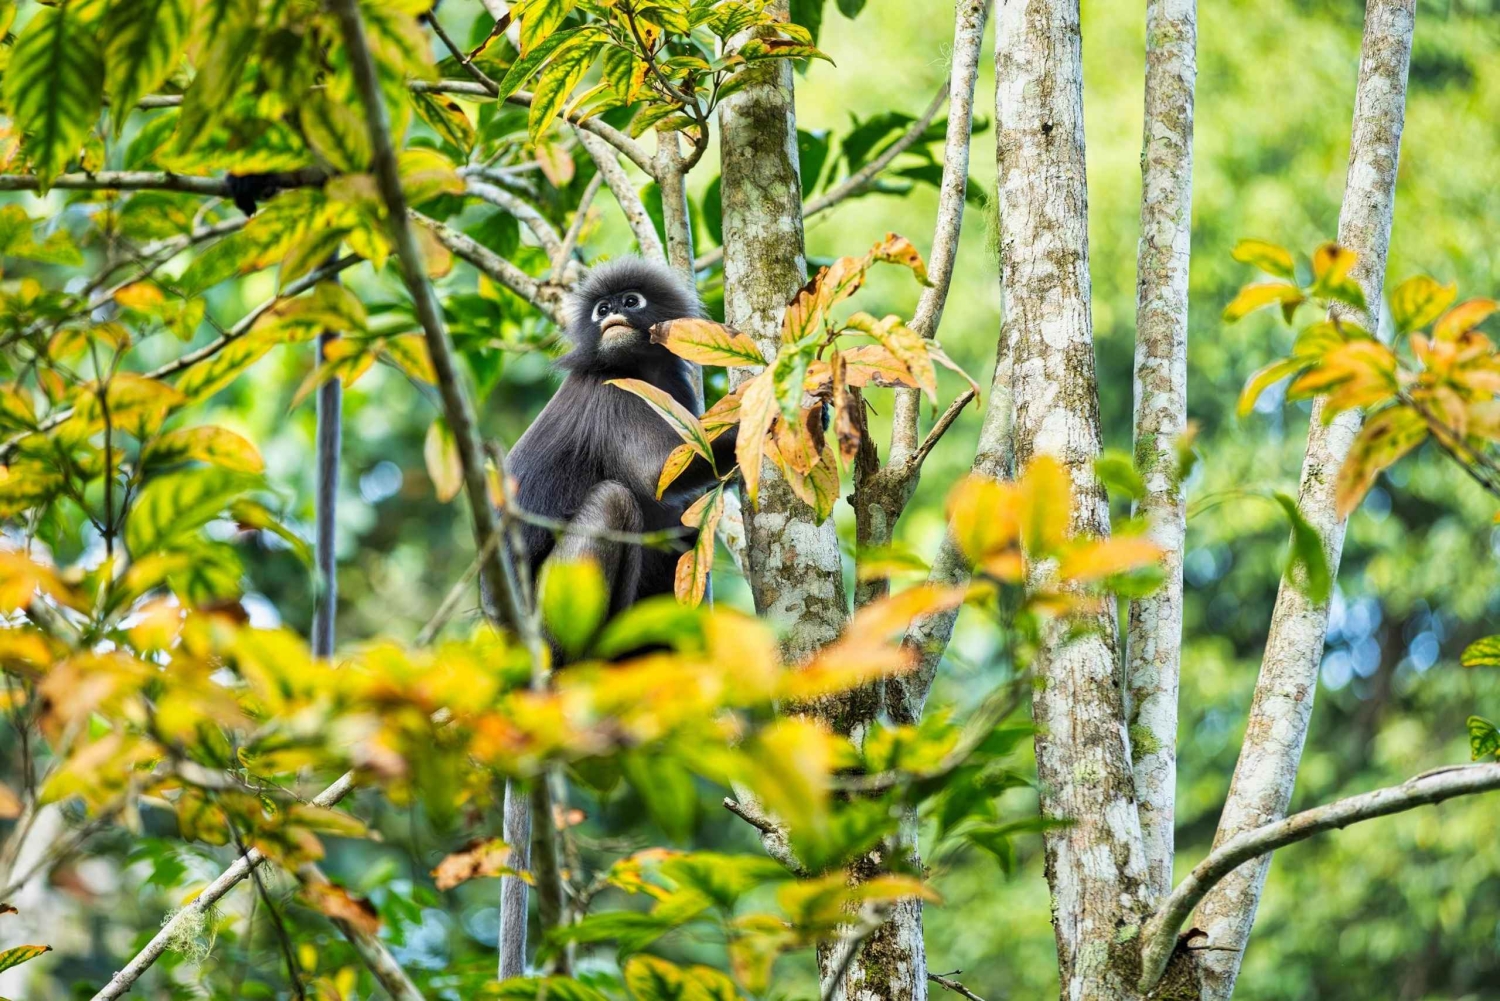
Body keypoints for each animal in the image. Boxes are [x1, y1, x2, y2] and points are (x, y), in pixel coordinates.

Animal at [507, 257, 735, 618]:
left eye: (630, 301)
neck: (640, 368)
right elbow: (656, 471)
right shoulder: (611, 390)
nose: (612, 313)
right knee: (613, 500)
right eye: (602, 309)